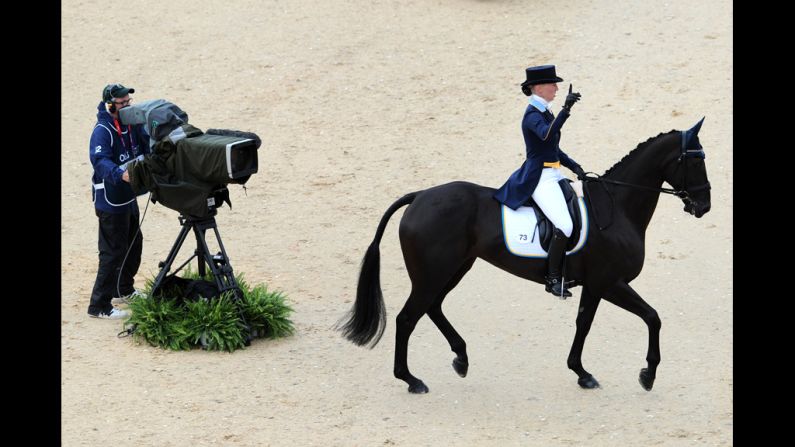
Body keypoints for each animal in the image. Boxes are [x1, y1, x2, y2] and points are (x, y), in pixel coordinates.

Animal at [338, 120, 712, 396]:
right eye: (695, 160)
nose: (704, 206)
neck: (616, 209)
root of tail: (419, 197)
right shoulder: (611, 282)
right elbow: (652, 317)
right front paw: (648, 374)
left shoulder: (595, 286)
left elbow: (584, 324)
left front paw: (581, 372)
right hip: (434, 274)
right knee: (407, 318)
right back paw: (412, 380)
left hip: (455, 268)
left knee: (432, 308)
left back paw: (461, 359)